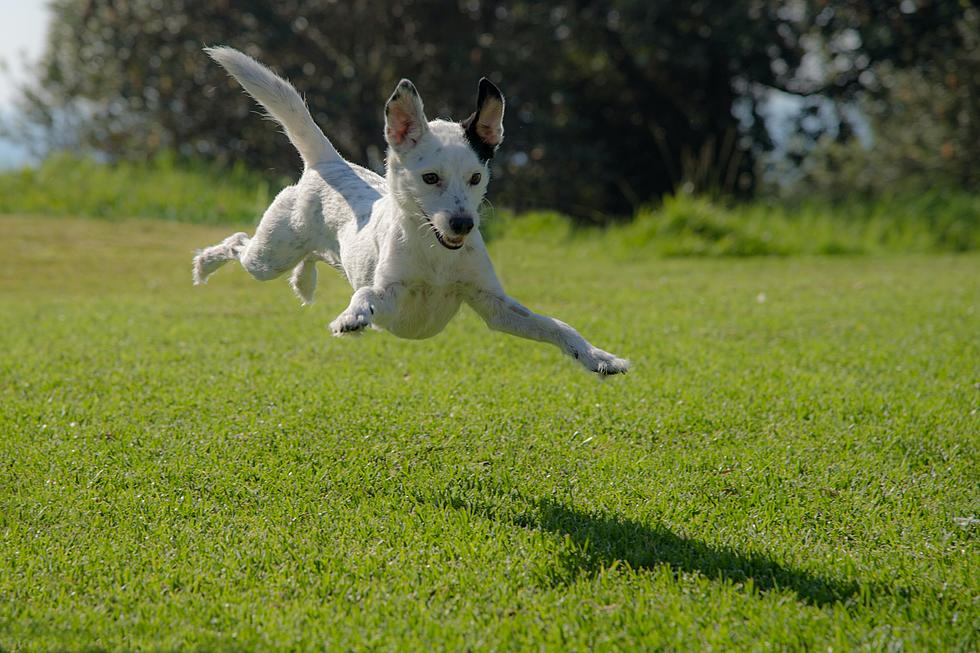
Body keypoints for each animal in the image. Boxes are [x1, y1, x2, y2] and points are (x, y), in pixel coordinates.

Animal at [195, 48, 632, 374]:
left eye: (476, 177)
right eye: (430, 177)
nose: (463, 223)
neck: (436, 255)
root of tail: (329, 163)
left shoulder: (495, 305)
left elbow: (557, 325)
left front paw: (598, 357)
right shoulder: (391, 295)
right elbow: (366, 295)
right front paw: (352, 317)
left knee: (308, 257)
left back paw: (304, 280)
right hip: (269, 255)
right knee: (238, 243)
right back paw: (205, 264)